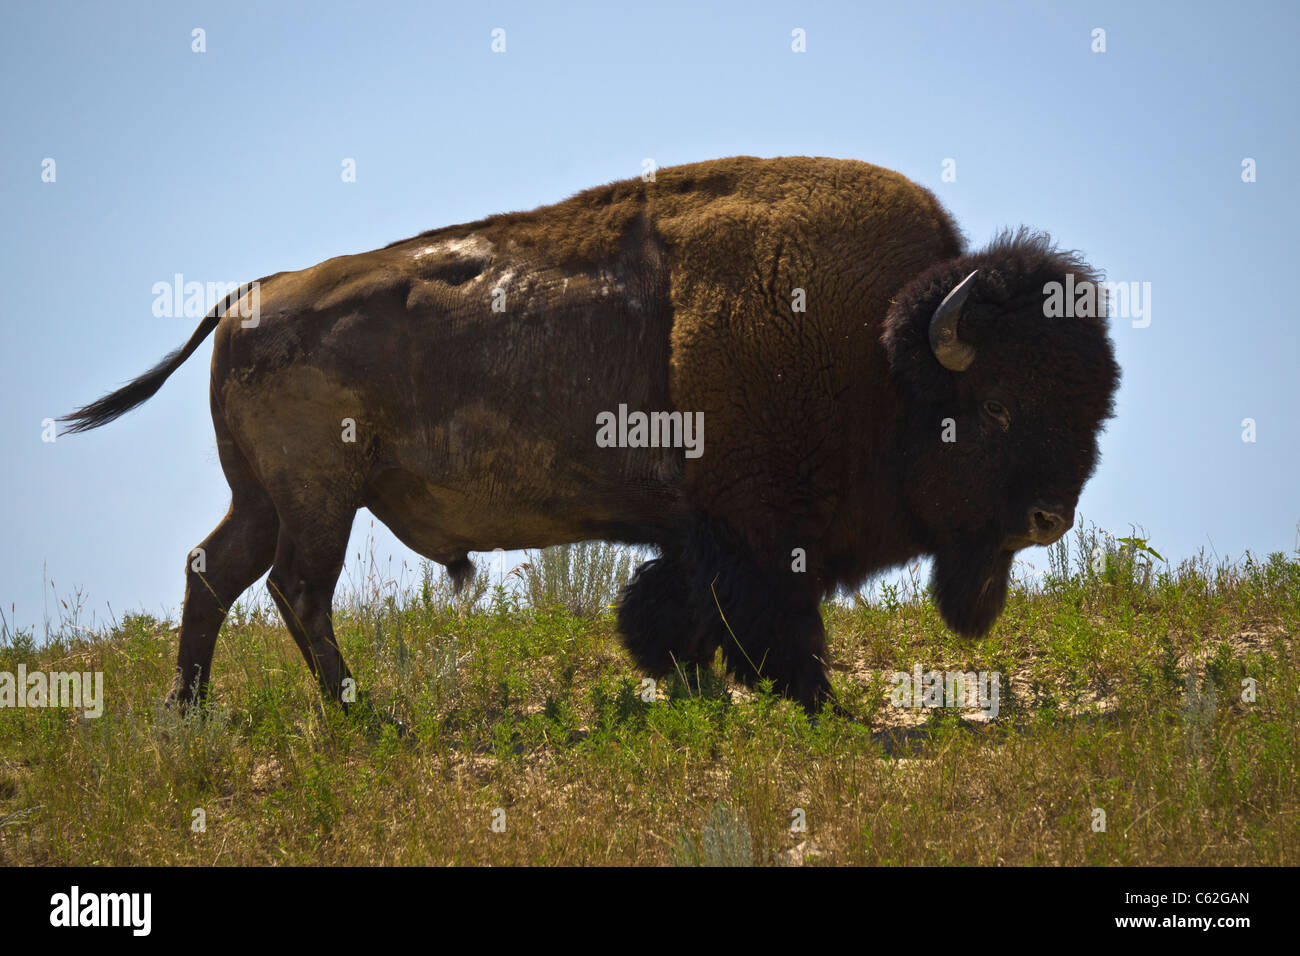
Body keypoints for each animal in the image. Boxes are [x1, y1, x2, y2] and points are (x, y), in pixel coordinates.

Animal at [62, 156, 1119, 714]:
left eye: (1096, 402)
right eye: (994, 407)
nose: (1048, 517)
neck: (878, 353)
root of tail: (247, 300)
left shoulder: (698, 537)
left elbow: (667, 612)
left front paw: (692, 690)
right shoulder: (760, 537)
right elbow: (771, 623)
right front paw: (811, 703)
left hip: (264, 496)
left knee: (215, 570)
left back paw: (191, 712)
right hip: (321, 499)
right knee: (295, 588)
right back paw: (360, 716)